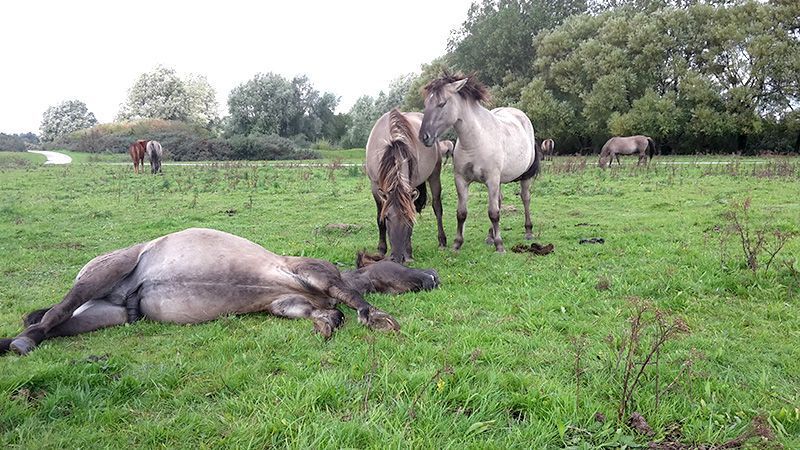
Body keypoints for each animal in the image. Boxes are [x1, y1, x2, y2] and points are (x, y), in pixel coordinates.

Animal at [1, 227, 438, 356]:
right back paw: (22, 343)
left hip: (105, 316)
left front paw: (326, 323)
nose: (434, 276)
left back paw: (16, 342)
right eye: (398, 263)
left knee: (56, 325)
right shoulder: (313, 273)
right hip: (105, 272)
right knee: (57, 312)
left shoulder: (287, 302)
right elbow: (351, 298)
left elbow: (322, 310)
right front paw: (375, 317)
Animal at [368, 109, 450, 264]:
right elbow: (378, 217)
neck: (392, 143)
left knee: (437, 207)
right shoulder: (375, 186)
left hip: (434, 174)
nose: (397, 257)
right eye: (387, 217)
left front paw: (409, 254)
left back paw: (442, 241)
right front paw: (381, 248)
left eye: (409, 218)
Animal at [418, 72, 544, 251]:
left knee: (525, 198)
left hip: (524, 177)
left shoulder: (491, 179)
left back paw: (528, 231)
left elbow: (493, 213)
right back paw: (490, 236)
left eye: (441, 103)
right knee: (499, 201)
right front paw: (457, 243)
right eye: (426, 103)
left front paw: (500, 246)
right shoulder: (461, 180)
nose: (424, 137)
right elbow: (461, 213)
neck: (475, 140)